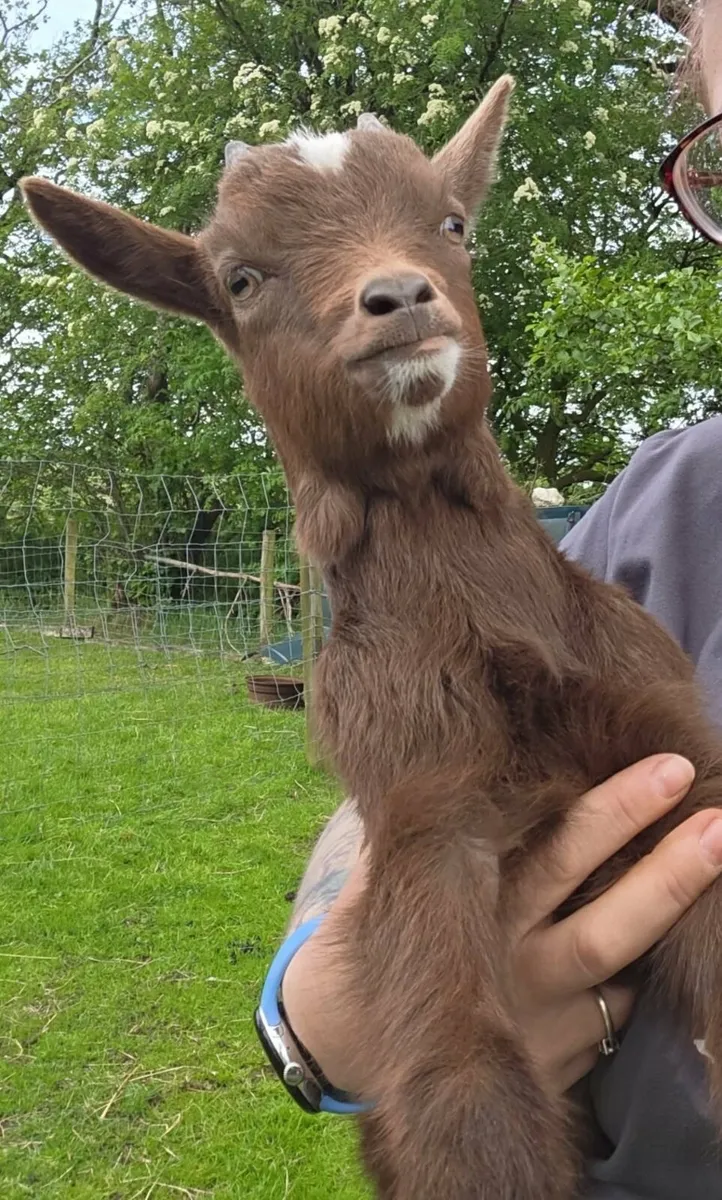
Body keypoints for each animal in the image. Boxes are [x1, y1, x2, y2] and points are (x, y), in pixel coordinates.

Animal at [20, 76, 722, 1198]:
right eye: (241, 278)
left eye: (453, 223)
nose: (397, 297)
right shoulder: (419, 797)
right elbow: (460, 1089)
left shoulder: (679, 753)